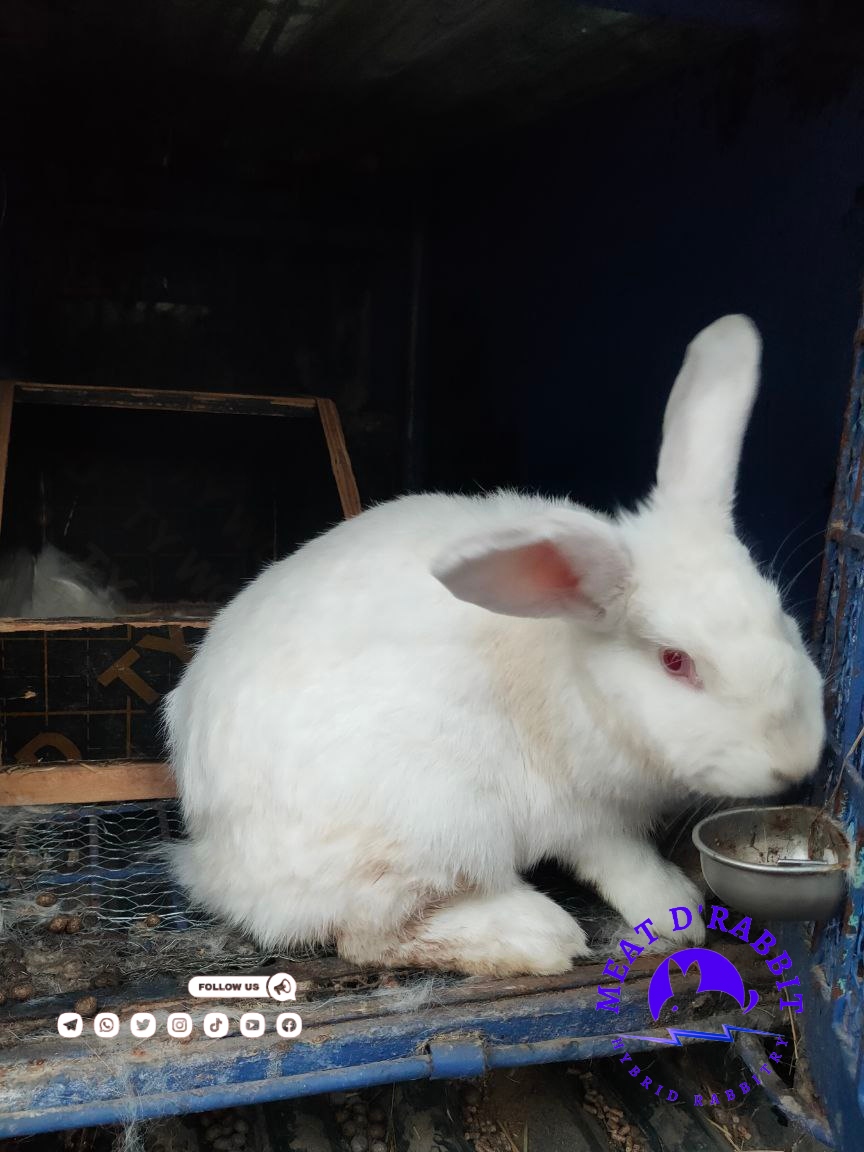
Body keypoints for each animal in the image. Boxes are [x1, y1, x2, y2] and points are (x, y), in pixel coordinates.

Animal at [163, 315, 825, 977]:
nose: (795, 762)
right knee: (367, 936)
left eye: (780, 613)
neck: (577, 670)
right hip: (436, 821)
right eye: (675, 661)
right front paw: (677, 913)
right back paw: (537, 934)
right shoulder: (583, 814)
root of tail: (215, 862)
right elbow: (620, 860)